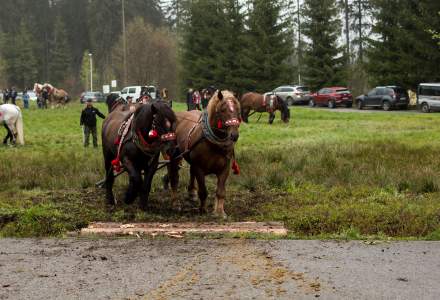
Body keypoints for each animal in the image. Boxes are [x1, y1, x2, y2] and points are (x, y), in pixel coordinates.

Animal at [165, 89, 241, 218]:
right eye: (223, 110)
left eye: (237, 109)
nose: (234, 135)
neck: (213, 144)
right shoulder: (199, 168)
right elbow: (203, 191)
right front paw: (203, 209)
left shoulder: (225, 168)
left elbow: (220, 191)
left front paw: (219, 212)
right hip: (174, 155)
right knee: (174, 177)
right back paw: (175, 203)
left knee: (190, 172)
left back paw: (191, 193)